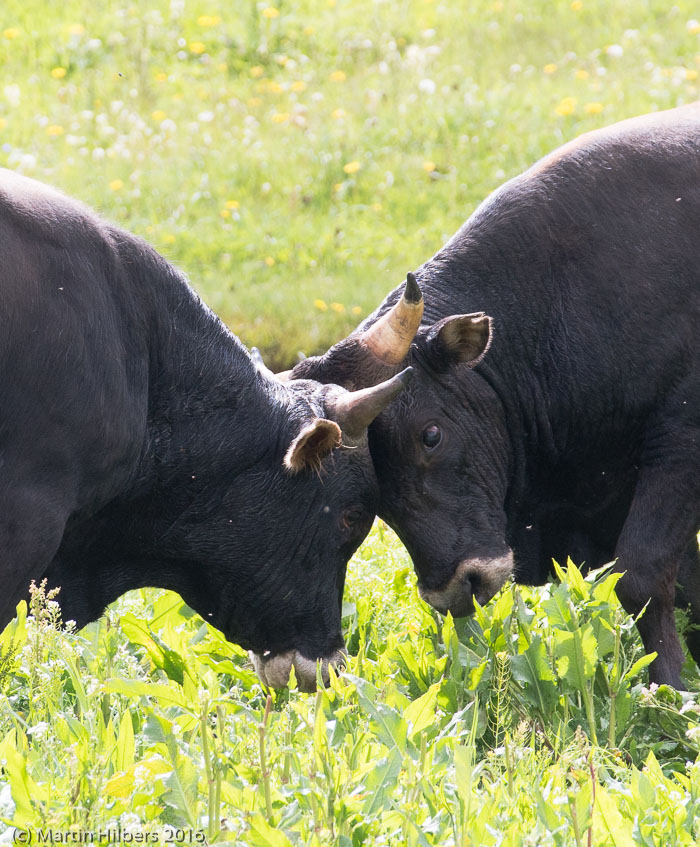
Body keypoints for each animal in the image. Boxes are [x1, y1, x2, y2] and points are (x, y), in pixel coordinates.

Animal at [290, 103, 700, 688]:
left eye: (430, 435)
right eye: (371, 493)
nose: (458, 587)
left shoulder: (679, 442)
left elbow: (641, 576)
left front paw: (670, 690)